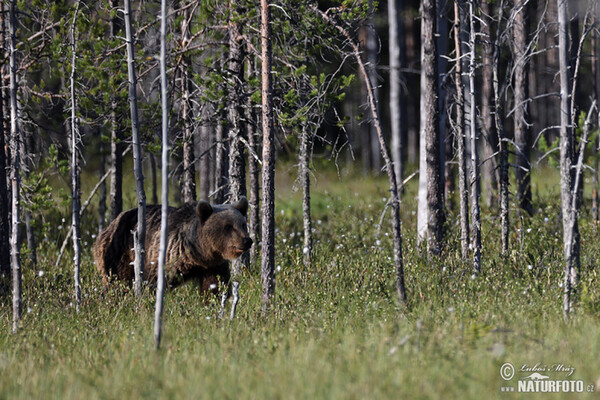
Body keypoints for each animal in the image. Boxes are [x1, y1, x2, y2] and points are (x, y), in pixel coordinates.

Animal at [92, 198, 252, 296]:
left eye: (243, 224)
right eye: (228, 227)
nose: (247, 240)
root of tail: (107, 226)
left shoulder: (214, 265)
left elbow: (215, 286)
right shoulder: (166, 254)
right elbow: (152, 282)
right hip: (118, 252)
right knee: (117, 280)